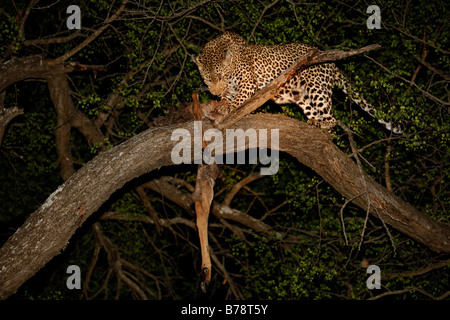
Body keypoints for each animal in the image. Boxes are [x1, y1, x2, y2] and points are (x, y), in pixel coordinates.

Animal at [195, 31, 402, 134]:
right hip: (302, 95)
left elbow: (239, 99)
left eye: (220, 76)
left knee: (332, 117)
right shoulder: (231, 86)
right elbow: (228, 96)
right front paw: (222, 105)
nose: (214, 93)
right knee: (313, 110)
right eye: (207, 79)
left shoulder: (247, 82)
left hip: (317, 87)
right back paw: (315, 123)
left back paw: (323, 124)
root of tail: (331, 63)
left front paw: (232, 110)